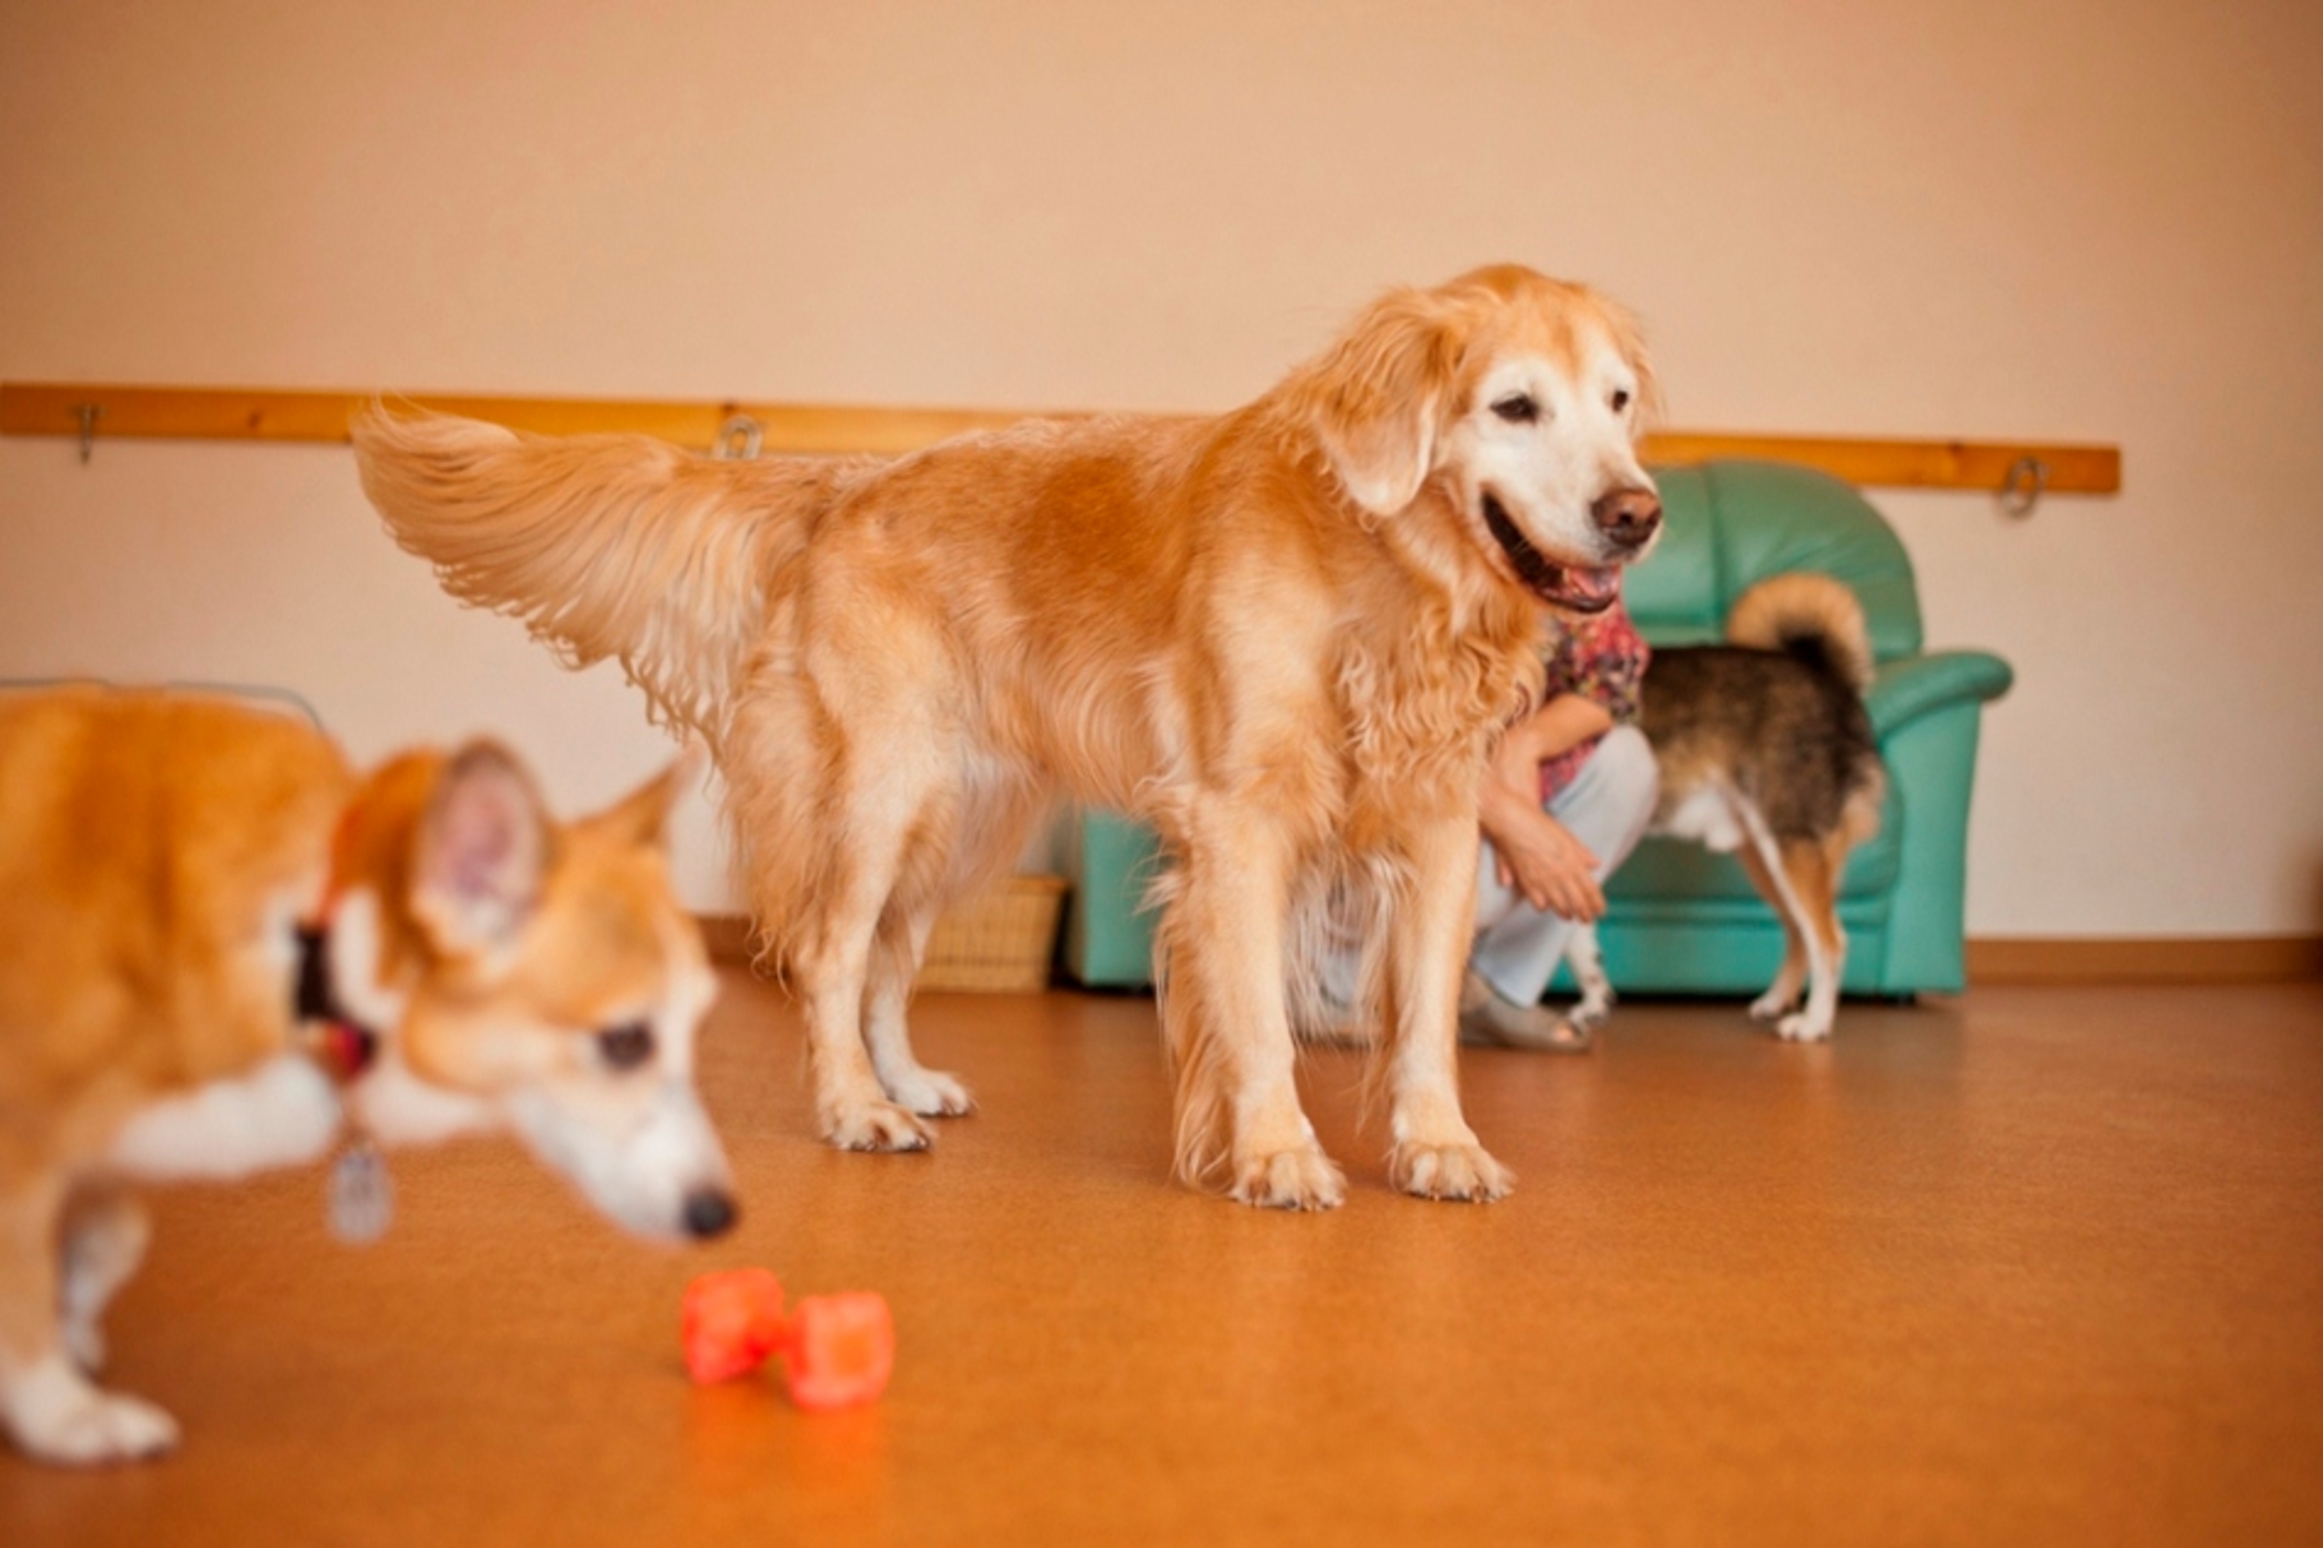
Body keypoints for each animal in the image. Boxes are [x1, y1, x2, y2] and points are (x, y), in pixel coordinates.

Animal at [0, 688, 729, 1459]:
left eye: (696, 1023)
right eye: (626, 1041)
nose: (721, 1215)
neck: (311, 953)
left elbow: (111, 1238)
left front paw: (76, 1325)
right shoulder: (24, 1146)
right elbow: (25, 1295)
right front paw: (66, 1415)